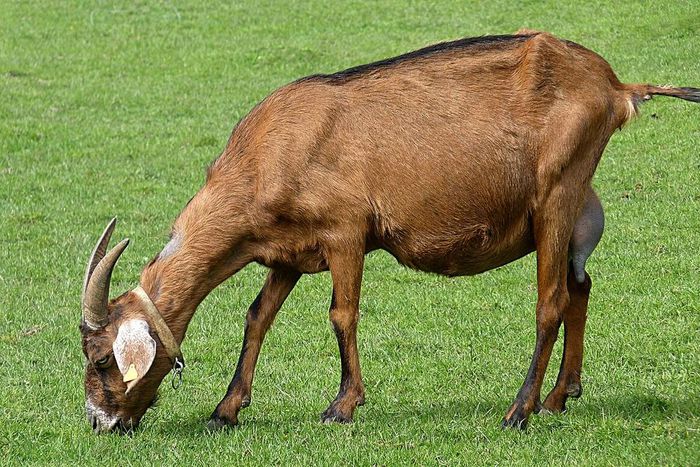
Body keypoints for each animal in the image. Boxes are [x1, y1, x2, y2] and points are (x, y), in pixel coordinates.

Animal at [79, 30, 699, 433]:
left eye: (103, 360)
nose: (101, 421)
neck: (269, 154)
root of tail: (616, 87)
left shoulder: (346, 232)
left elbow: (341, 314)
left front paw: (341, 406)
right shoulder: (288, 251)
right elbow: (257, 317)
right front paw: (226, 410)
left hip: (556, 193)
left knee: (551, 301)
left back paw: (519, 411)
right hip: (574, 207)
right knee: (580, 286)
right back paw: (559, 397)